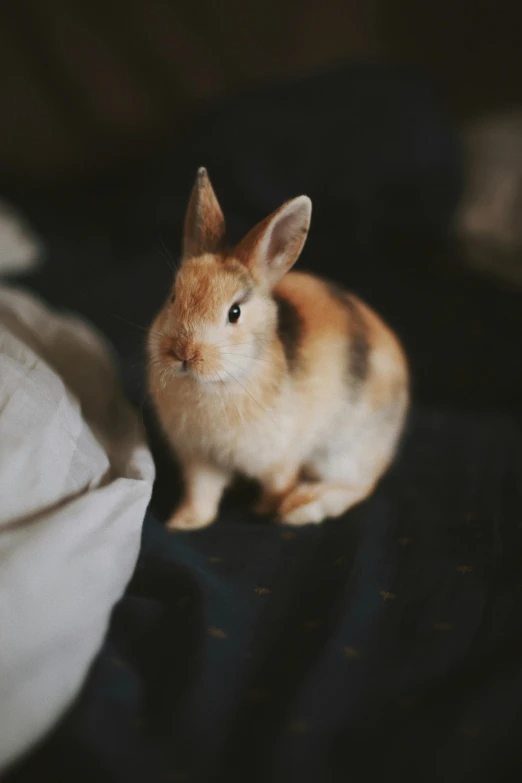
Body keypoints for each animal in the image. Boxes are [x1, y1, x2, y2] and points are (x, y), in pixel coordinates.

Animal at [146, 168, 406, 528]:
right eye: (173, 297)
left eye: (234, 313)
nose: (184, 352)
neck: (218, 383)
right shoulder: (201, 459)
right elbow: (202, 494)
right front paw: (184, 523)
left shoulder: (279, 458)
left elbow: (276, 484)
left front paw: (264, 511)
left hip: (344, 451)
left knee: (359, 486)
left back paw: (301, 507)